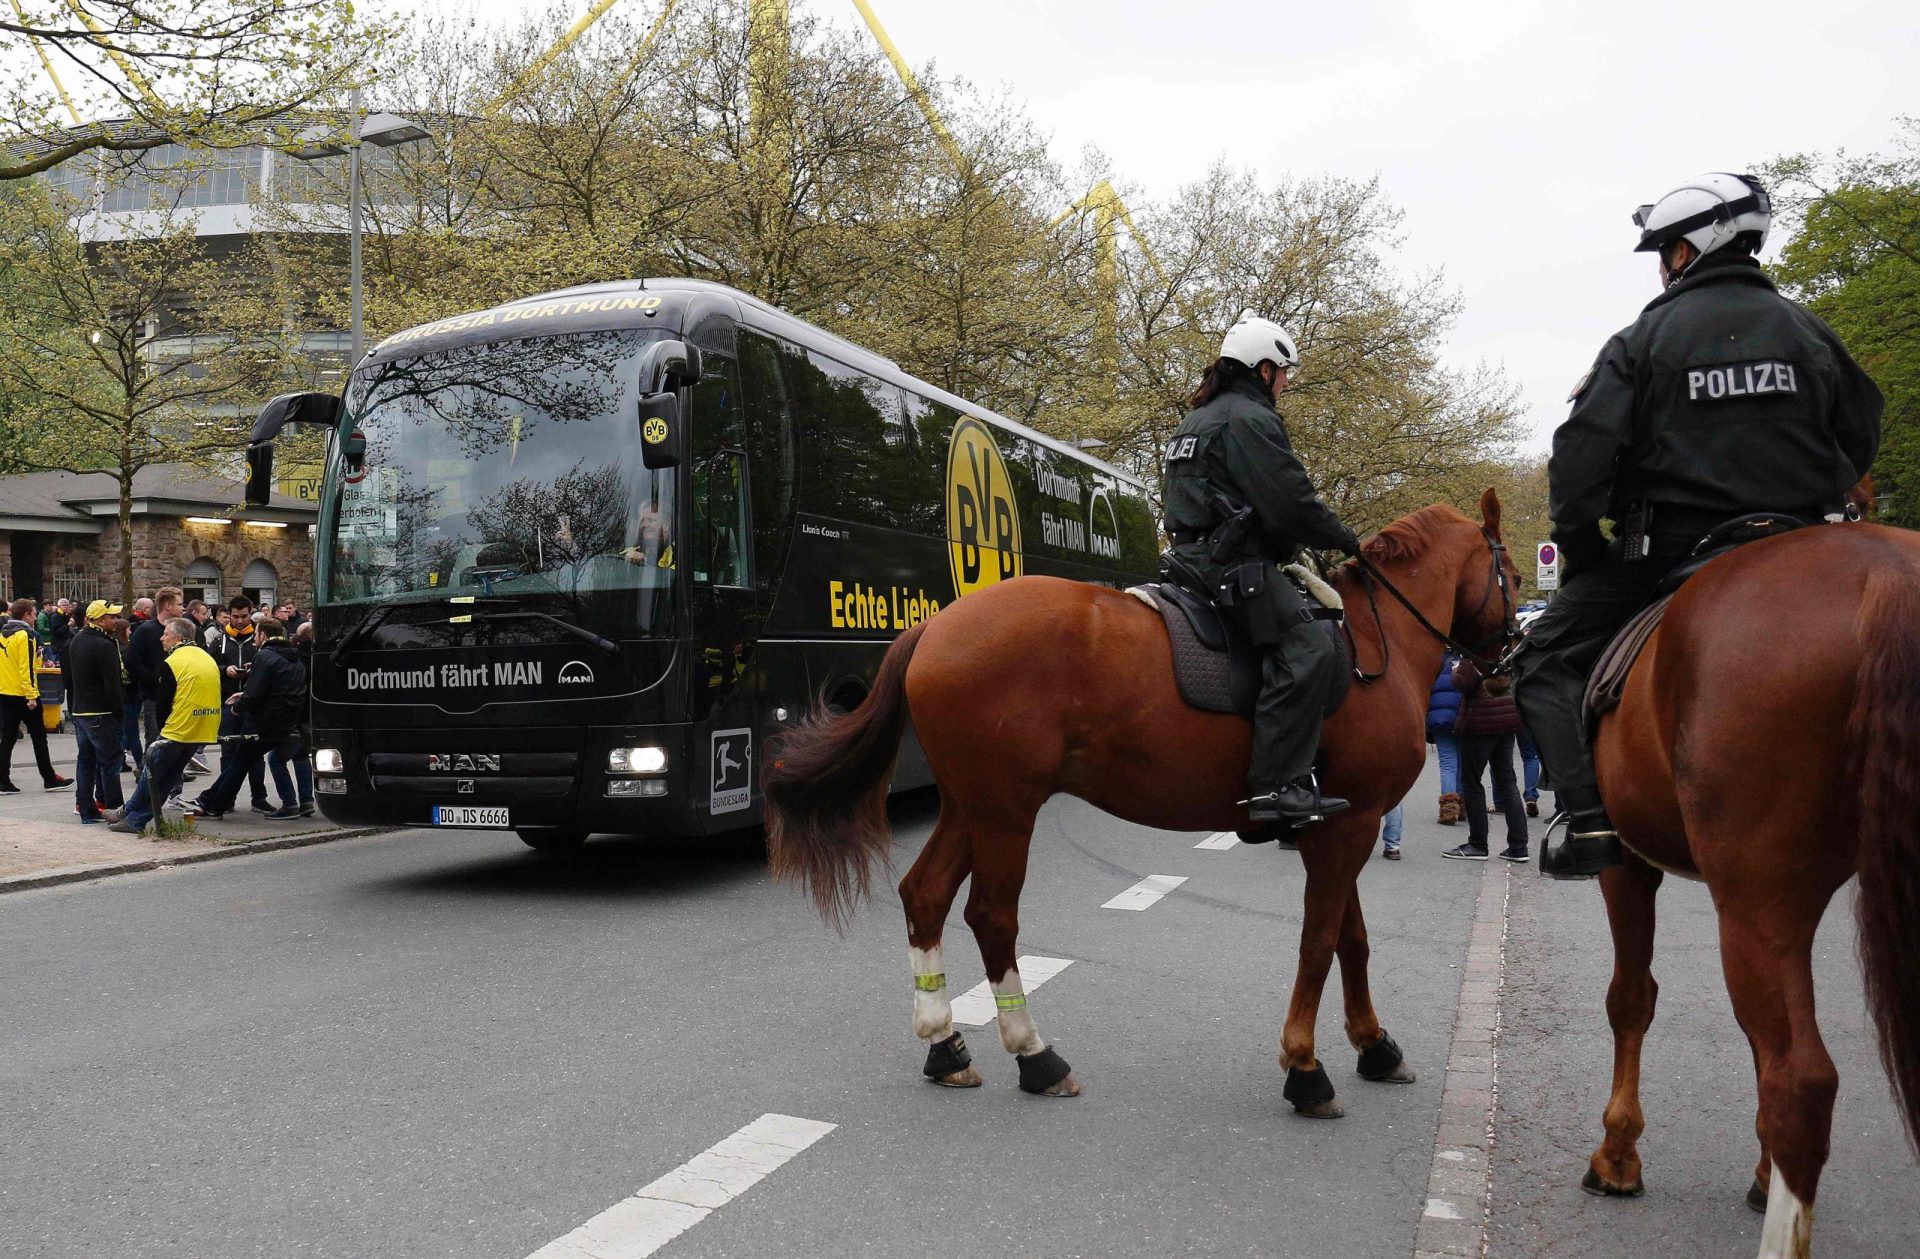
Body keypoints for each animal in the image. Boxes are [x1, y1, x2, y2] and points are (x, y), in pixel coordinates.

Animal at [760, 495, 1512, 1113]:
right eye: (1511, 571)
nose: (1501, 664)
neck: (1370, 644)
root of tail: (937, 627)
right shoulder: (1347, 828)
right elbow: (1320, 941)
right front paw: (1305, 1066)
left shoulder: (1337, 824)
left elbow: (1350, 939)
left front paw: (1375, 1046)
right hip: (1006, 812)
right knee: (991, 916)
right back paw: (1035, 1055)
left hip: (970, 807)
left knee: (925, 895)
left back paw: (944, 1045)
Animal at [1574, 518, 1920, 1251]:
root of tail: (1885, 570)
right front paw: (1764, 1172)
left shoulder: (1628, 864)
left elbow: (1631, 998)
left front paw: (1617, 1155)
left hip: (1754, 903)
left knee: (1802, 1082)